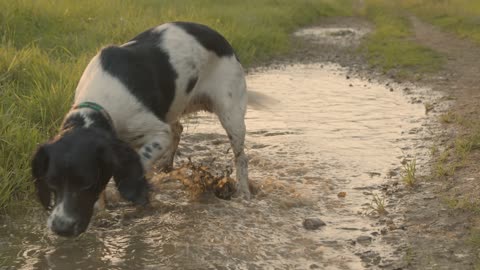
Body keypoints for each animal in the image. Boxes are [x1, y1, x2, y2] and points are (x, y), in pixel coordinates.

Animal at [31, 22, 251, 237]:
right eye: (50, 182)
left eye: (87, 183)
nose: (61, 228)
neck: (100, 103)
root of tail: (221, 38)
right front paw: (102, 210)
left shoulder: (159, 134)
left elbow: (140, 161)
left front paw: (137, 189)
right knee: (178, 128)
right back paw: (166, 164)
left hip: (230, 112)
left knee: (240, 157)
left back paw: (244, 192)